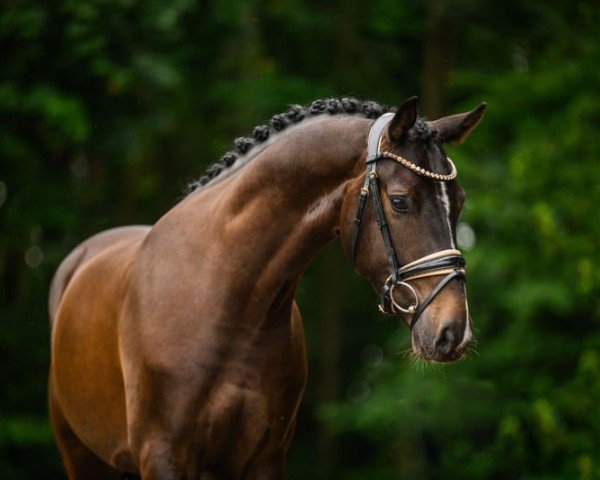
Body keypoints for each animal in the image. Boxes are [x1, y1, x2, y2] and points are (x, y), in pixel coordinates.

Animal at [48, 95, 488, 478]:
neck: (226, 301)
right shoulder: (163, 456)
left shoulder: (263, 458)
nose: (453, 331)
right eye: (399, 201)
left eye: (460, 201)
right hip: (80, 455)